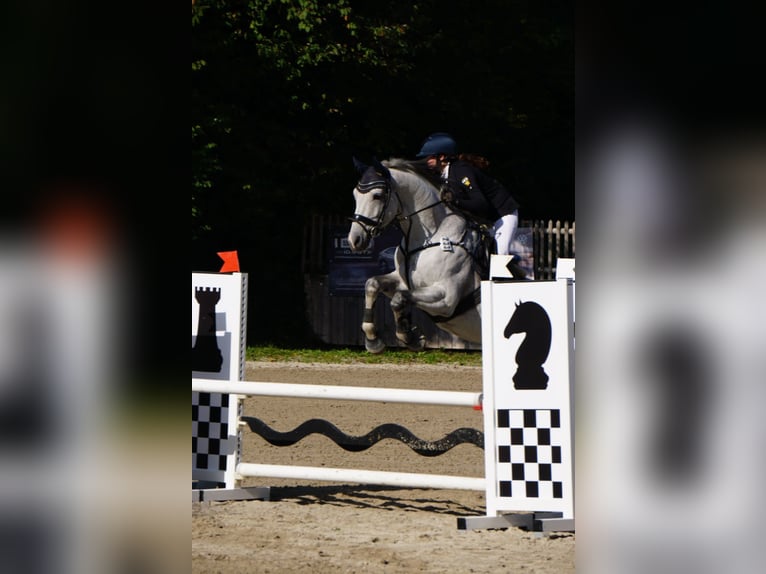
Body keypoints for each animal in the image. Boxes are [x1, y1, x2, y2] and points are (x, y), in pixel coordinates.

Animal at [350, 159, 492, 356]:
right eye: (355, 195)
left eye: (377, 196)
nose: (354, 240)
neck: (430, 236)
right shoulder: (403, 282)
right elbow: (372, 284)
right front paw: (373, 340)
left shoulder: (446, 299)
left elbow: (398, 299)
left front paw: (410, 337)